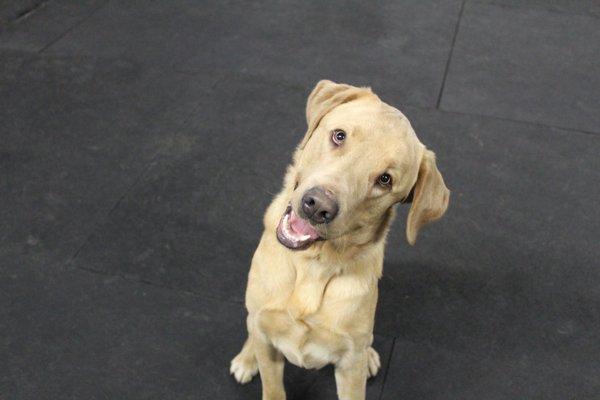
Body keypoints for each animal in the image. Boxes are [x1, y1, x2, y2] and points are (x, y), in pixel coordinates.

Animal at [230, 79, 450, 398]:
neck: (313, 264)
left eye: (385, 180)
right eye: (339, 136)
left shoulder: (349, 364)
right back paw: (247, 357)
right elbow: (272, 386)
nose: (317, 206)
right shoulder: (267, 339)